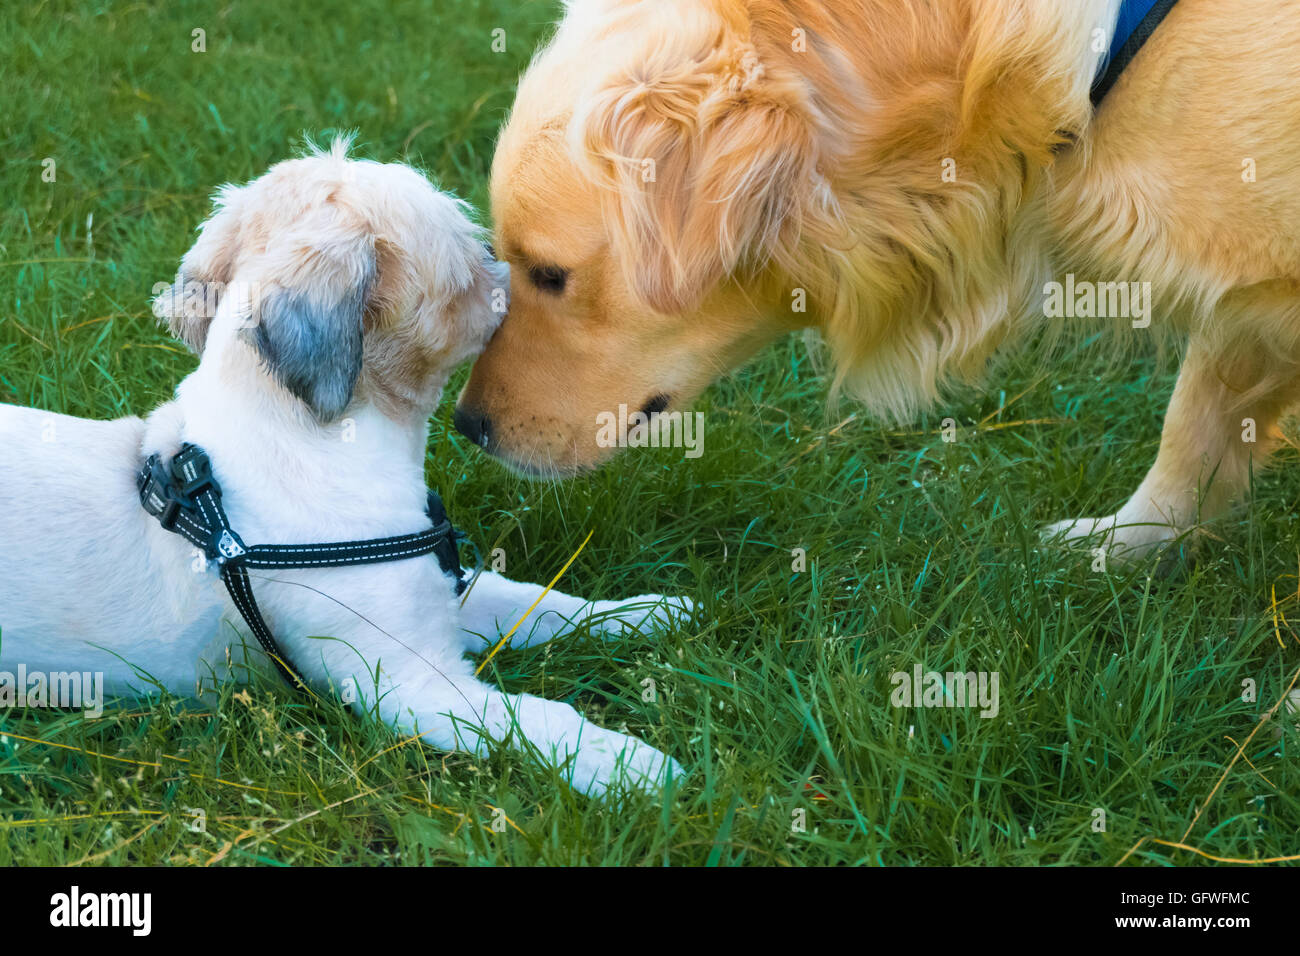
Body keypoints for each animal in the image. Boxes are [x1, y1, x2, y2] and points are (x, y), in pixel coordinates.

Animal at [0, 140, 691, 801]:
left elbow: (540, 603)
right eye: (473, 258)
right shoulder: (408, 682)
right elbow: (536, 718)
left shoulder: (442, 593)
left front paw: (644, 613)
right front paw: (626, 765)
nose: (516, 271)